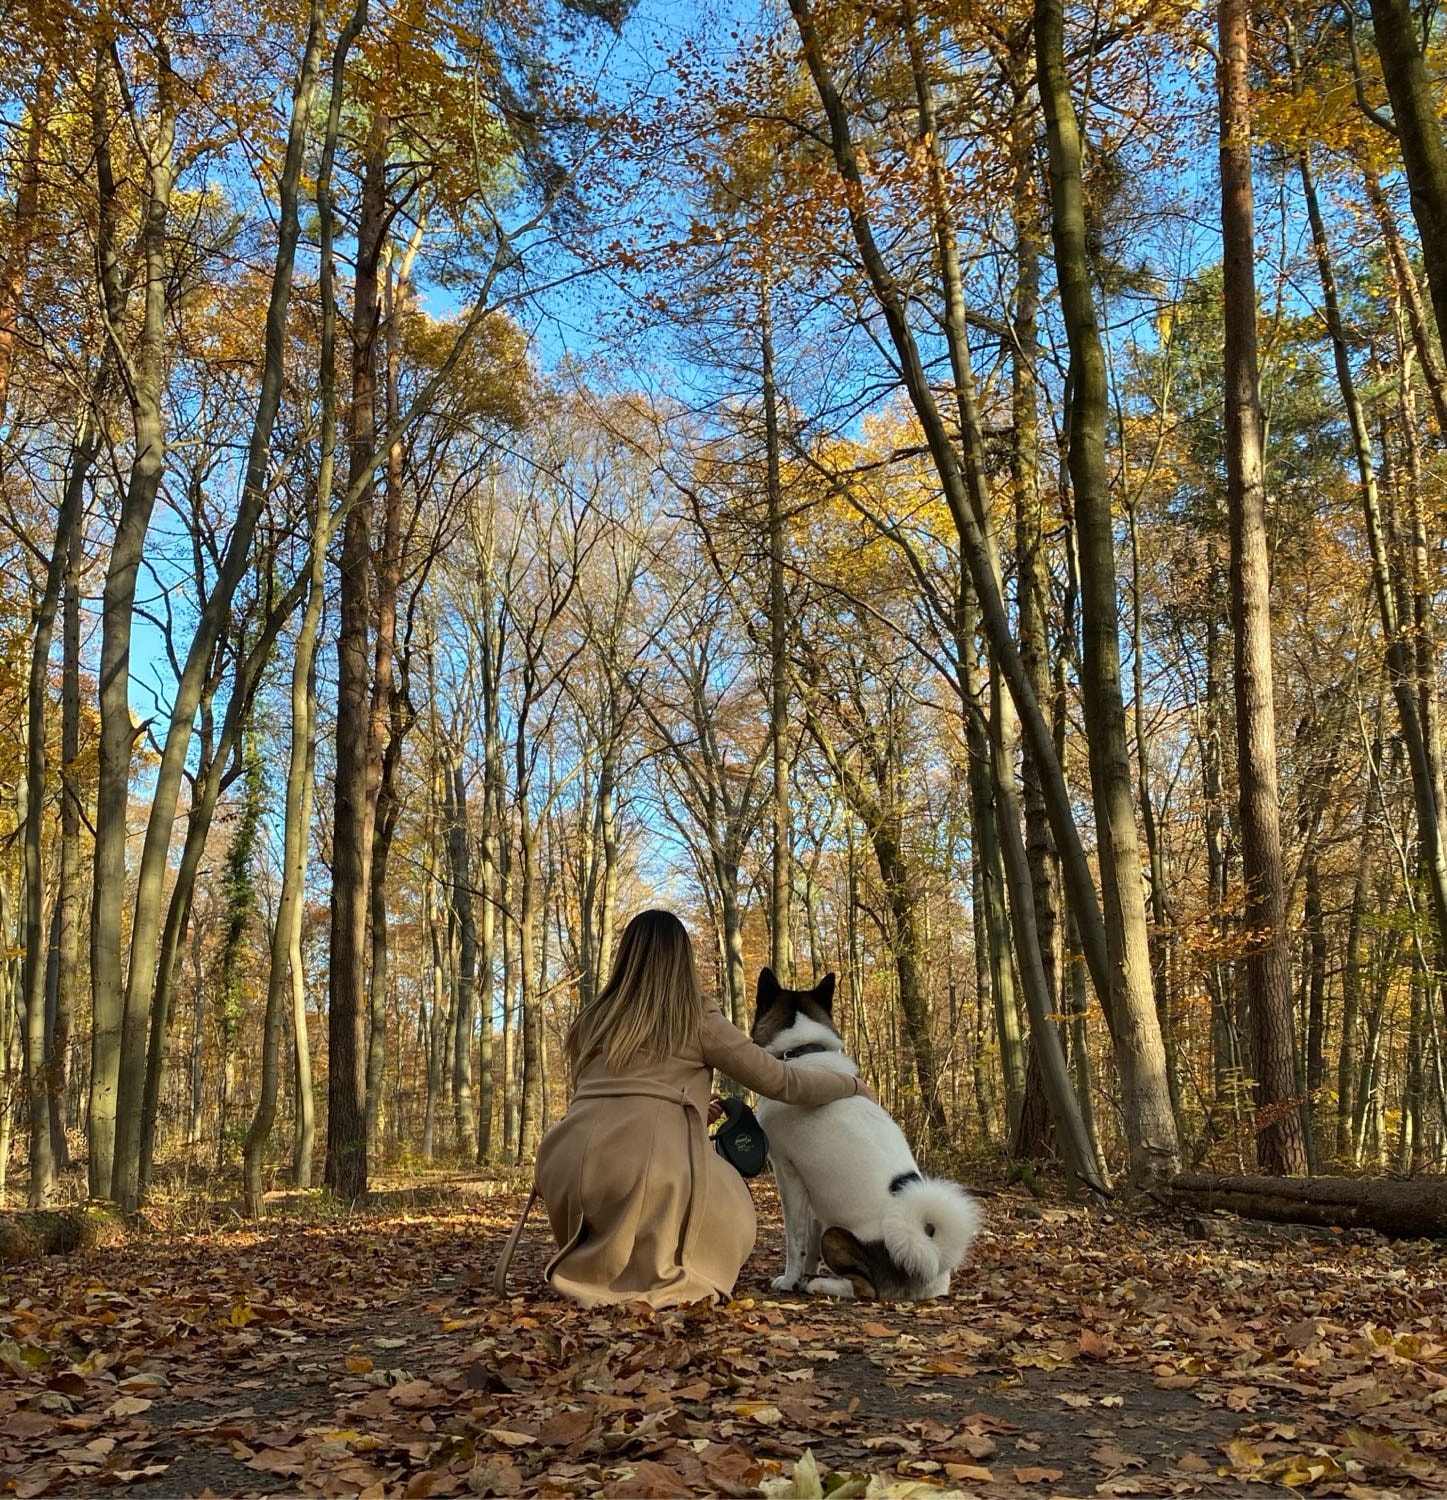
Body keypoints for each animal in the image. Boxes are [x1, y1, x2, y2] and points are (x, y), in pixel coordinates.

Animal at [751, 967, 981, 1300]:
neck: (803, 1051)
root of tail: (928, 1268)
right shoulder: (812, 1192)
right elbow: (810, 1243)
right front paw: (805, 1273)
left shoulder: (787, 1172)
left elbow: (795, 1240)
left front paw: (790, 1280)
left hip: (837, 1234)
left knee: (865, 1288)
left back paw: (820, 1284)